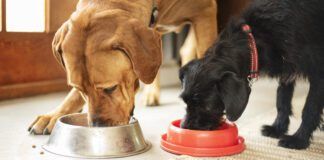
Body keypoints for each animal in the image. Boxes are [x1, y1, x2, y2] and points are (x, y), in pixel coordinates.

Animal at [28, 0, 218, 135]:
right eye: (80, 89)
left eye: (111, 88)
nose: (97, 126)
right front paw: (56, 114)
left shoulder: (205, 11)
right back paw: (152, 93)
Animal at [180, 0, 324, 150]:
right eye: (185, 101)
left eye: (206, 106)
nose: (185, 127)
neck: (255, 38)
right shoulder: (286, 69)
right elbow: (282, 99)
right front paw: (277, 128)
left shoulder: (318, 73)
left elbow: (310, 108)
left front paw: (299, 139)